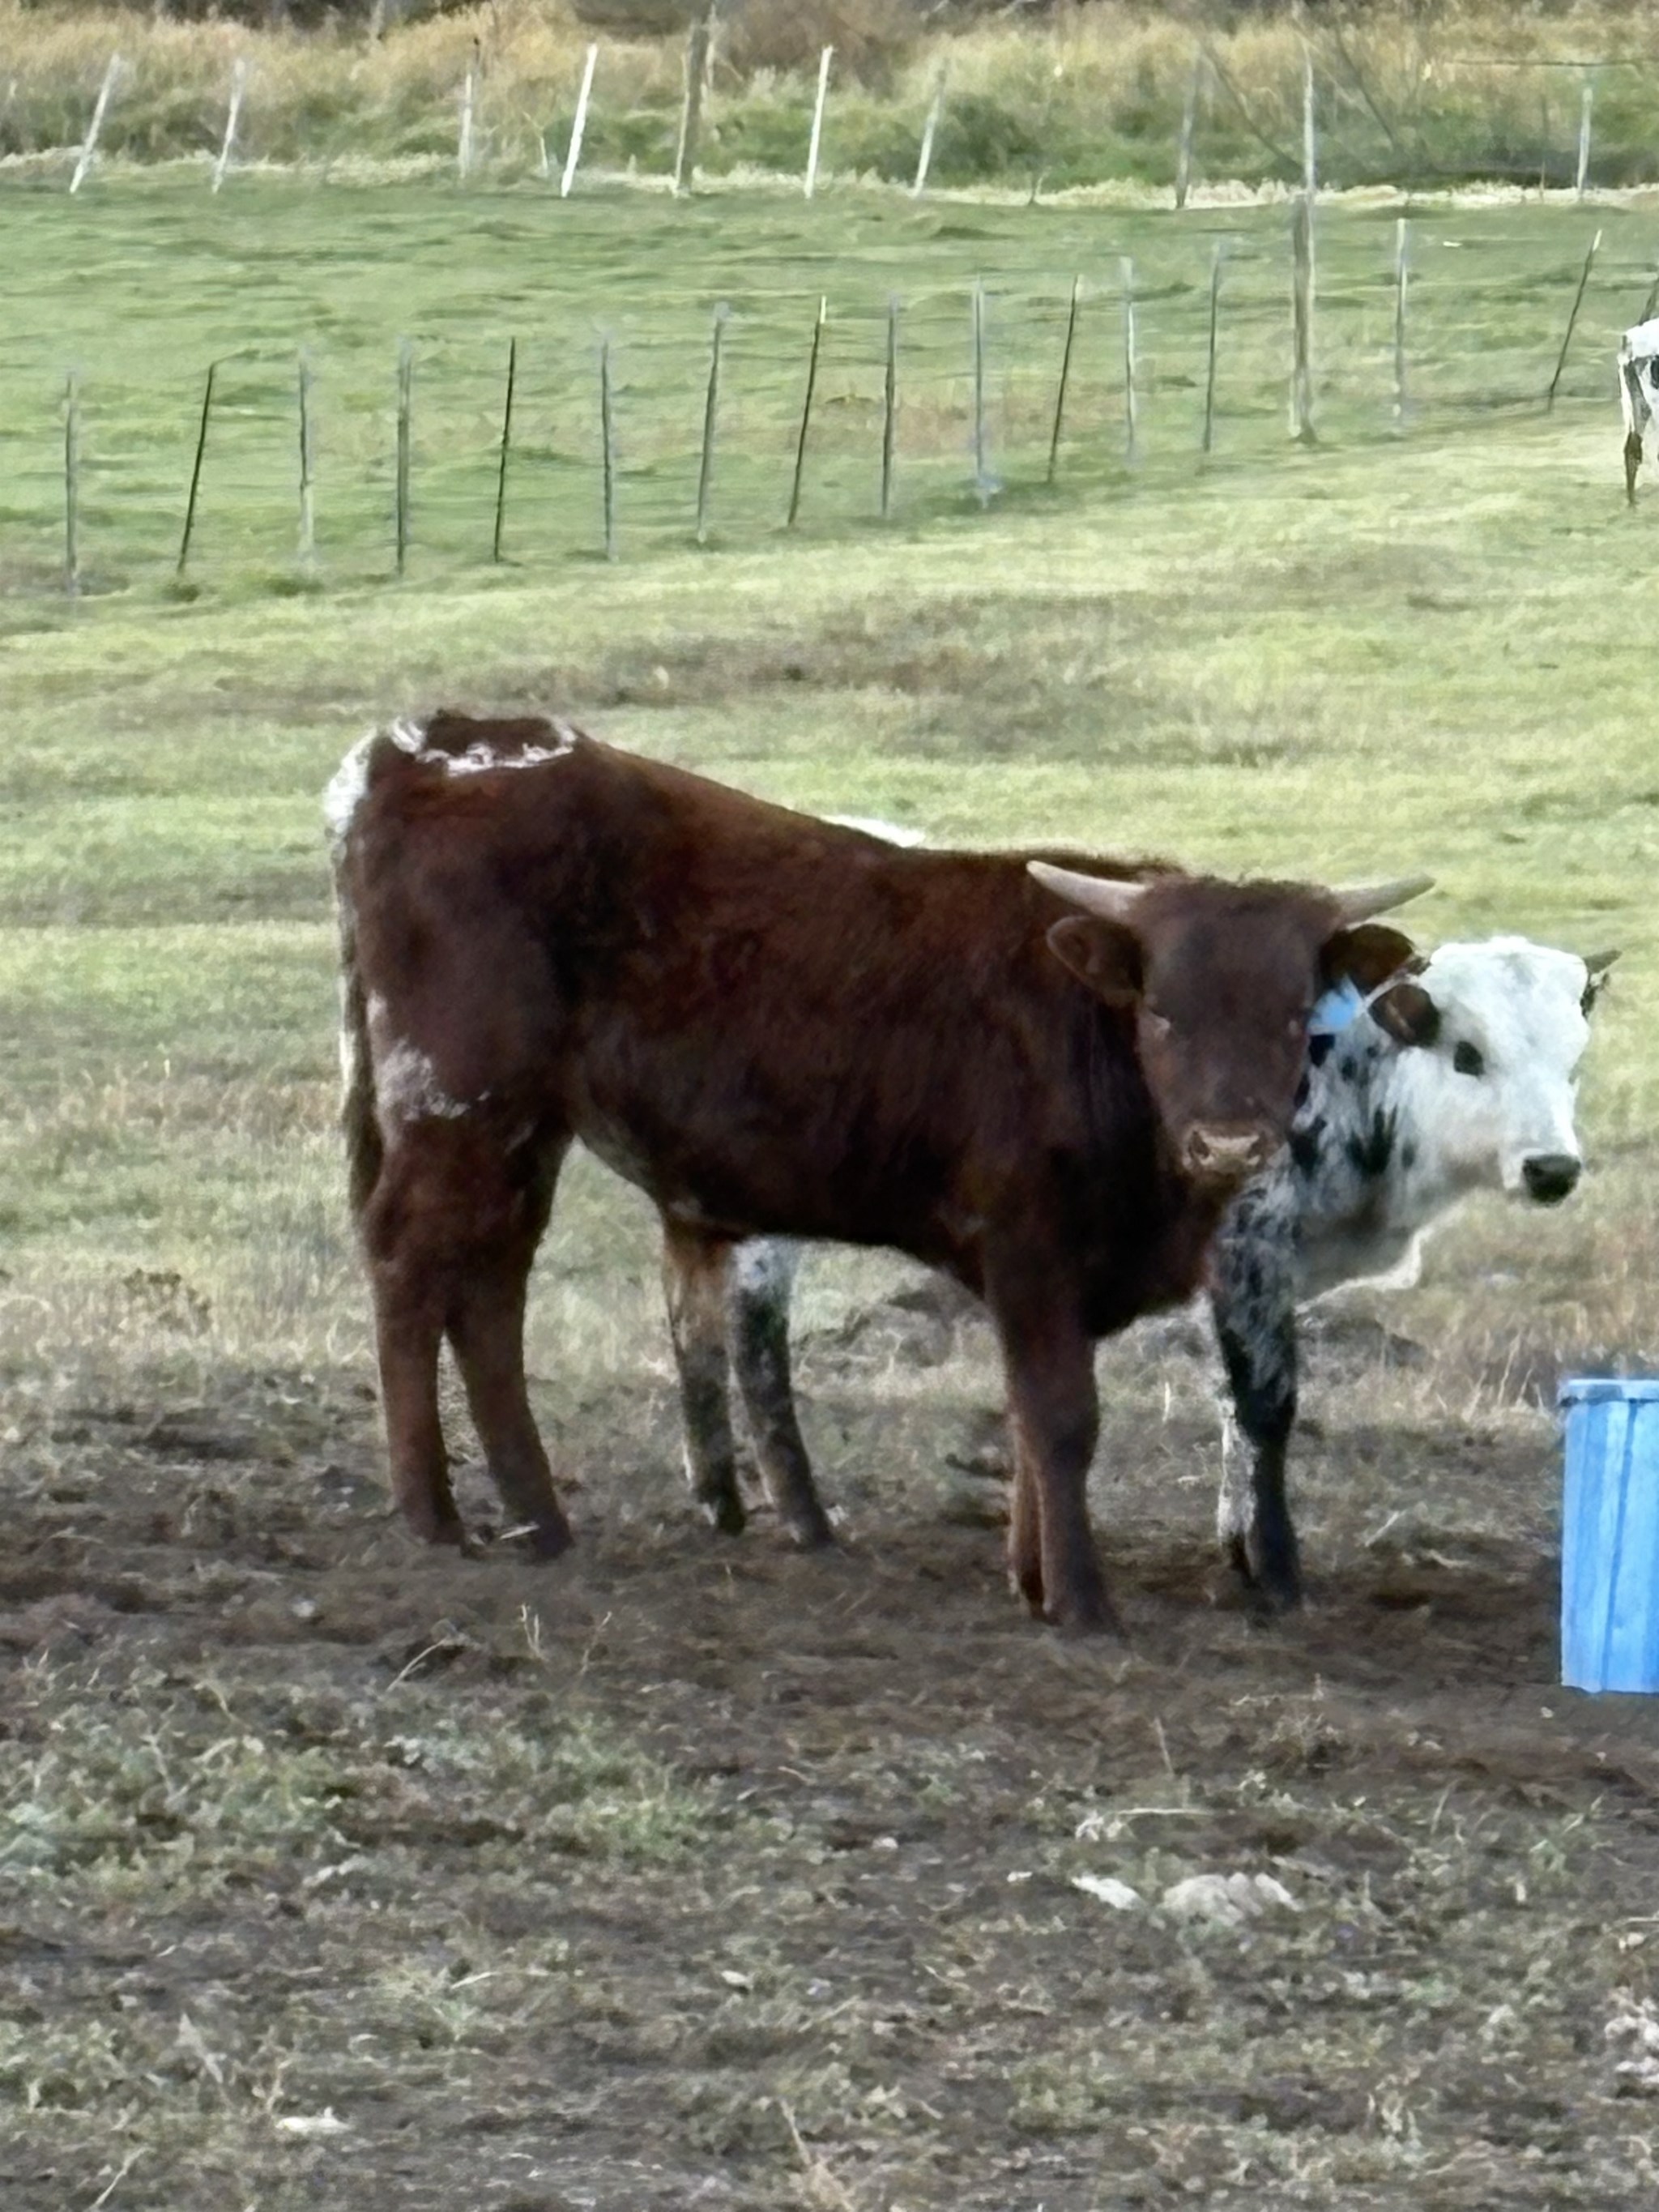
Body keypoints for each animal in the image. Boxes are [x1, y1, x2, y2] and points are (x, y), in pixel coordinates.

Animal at [326, 708, 1429, 1633]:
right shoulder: (1028, 1244)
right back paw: (431, 1514)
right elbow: (1060, 1417)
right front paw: (1078, 1602)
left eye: (1291, 1015)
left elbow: (1025, 1418)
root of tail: (430, 743)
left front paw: (1030, 1576)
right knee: (410, 1264)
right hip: (456, 1104)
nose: (1230, 1144)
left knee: (489, 1287)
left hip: (520, 1130)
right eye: (1161, 1012)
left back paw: (537, 1518)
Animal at [683, 935, 1613, 1614]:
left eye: (1573, 1062)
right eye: (1468, 1055)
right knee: (753, 1323)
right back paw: (799, 1512)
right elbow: (1267, 1407)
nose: (1552, 1169)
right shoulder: (1247, 1249)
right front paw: (1277, 1573)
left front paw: (1236, 1544)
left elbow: (1234, 1407)